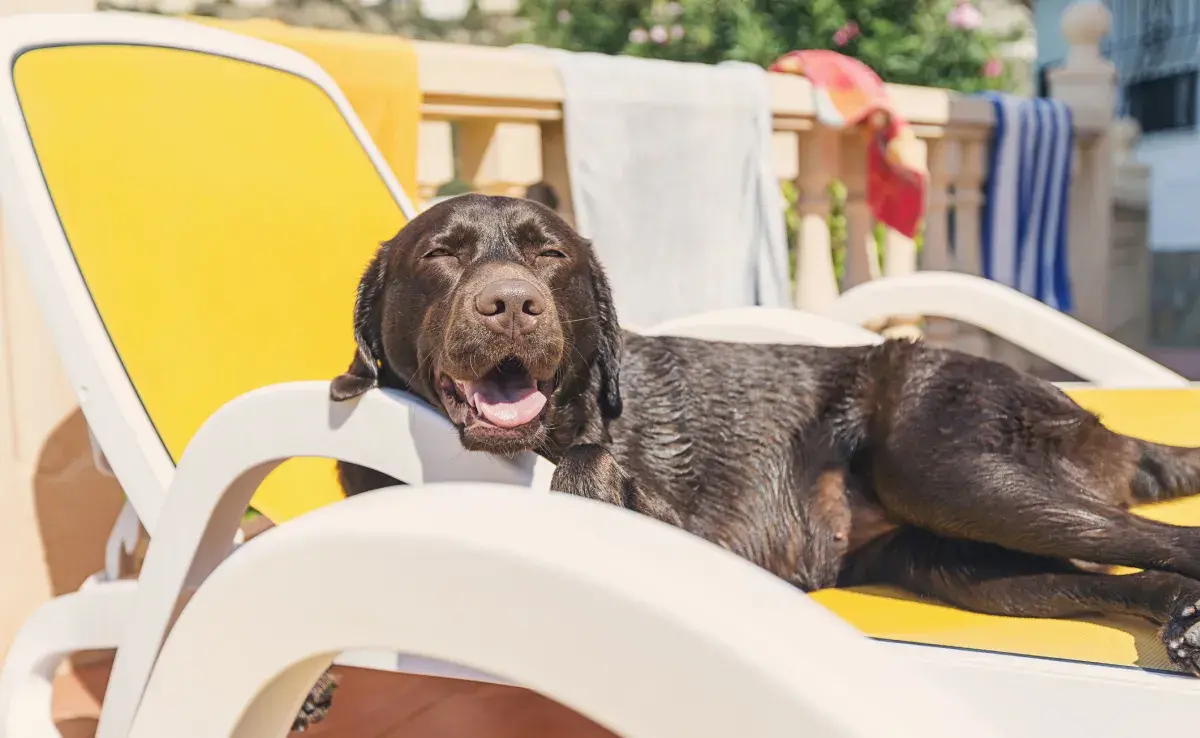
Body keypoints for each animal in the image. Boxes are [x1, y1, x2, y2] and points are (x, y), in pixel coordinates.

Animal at [321, 190, 1200, 700]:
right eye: (442, 254)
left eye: (550, 254)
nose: (511, 303)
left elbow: (590, 471)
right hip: (965, 564)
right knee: (1122, 575)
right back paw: (1181, 618)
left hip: (949, 467)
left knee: (1167, 539)